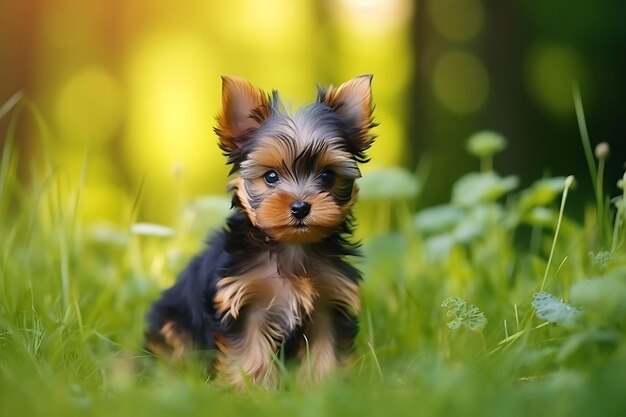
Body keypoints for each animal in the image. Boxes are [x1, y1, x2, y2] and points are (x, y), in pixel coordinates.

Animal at [144, 74, 372, 386]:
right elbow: (248, 352)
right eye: (271, 176)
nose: (300, 207)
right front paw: (251, 389)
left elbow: (327, 347)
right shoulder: (242, 299)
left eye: (327, 176)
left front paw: (325, 386)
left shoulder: (330, 300)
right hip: (173, 320)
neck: (290, 247)